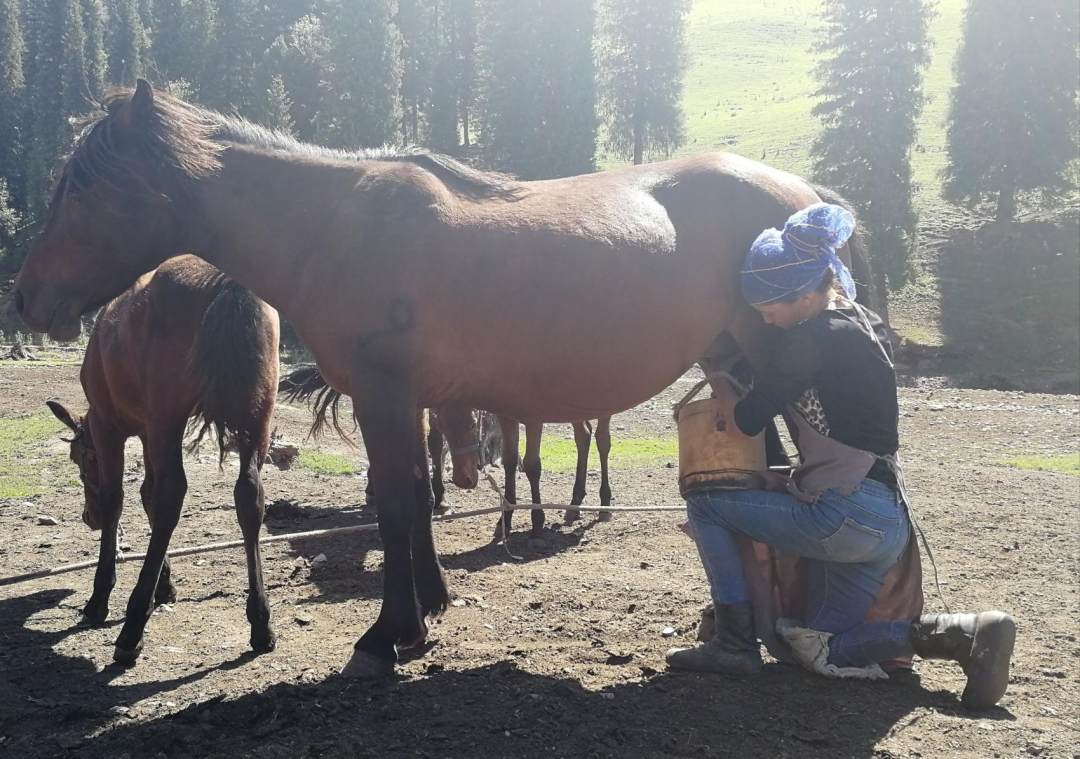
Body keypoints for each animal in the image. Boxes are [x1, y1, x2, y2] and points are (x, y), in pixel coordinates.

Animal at [48, 254, 280, 665]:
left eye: (81, 460)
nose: (88, 517)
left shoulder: (112, 426)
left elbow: (120, 499)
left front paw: (101, 598)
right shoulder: (147, 430)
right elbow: (147, 494)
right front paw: (165, 585)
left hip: (169, 418)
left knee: (172, 494)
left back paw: (131, 629)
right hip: (257, 416)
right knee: (249, 497)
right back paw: (260, 622)